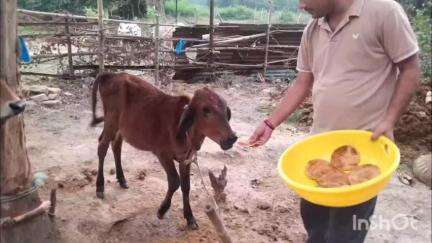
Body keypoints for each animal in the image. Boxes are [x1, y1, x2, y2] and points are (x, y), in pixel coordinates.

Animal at [91, 73, 238, 229]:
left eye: (226, 111)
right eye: (206, 110)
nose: (232, 138)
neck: (186, 132)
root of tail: (111, 75)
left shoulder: (185, 159)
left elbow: (186, 186)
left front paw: (190, 217)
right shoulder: (162, 154)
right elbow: (174, 181)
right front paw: (162, 210)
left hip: (121, 128)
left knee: (116, 145)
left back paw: (122, 179)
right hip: (110, 122)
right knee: (102, 146)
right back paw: (100, 186)